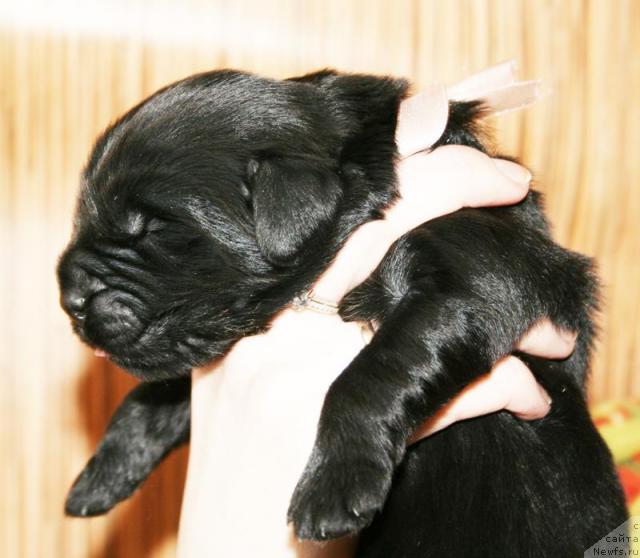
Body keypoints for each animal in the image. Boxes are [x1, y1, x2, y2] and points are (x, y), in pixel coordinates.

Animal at [57, 69, 628, 556]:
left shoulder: (478, 274)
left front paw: (333, 488)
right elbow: (159, 391)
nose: (69, 297)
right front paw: (105, 469)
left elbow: (370, 374)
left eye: (152, 228)